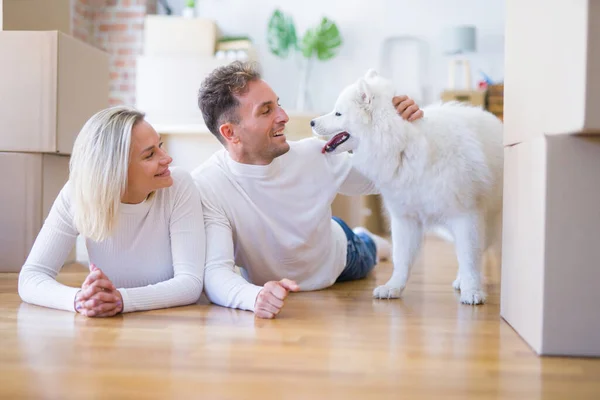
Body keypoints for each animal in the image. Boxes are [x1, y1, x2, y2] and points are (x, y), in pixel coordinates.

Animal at [312, 69, 504, 306]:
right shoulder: (405, 217)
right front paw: (393, 287)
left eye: (338, 113)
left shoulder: (466, 215)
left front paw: (472, 291)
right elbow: (402, 258)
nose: (311, 122)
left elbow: (469, 256)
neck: (401, 145)